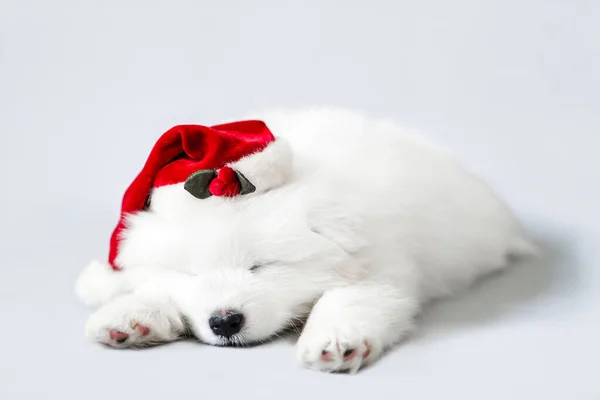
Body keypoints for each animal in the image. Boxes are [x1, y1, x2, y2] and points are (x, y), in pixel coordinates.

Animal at [75, 107, 536, 376]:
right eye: (190, 273)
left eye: (260, 266)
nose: (224, 322)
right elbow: (150, 287)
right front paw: (129, 316)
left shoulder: (379, 265)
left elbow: (350, 298)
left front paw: (336, 340)